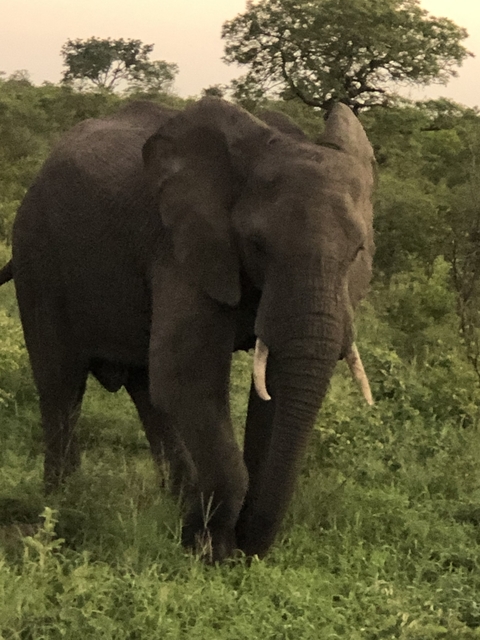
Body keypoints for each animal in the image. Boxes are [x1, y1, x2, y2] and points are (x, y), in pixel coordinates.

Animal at [0, 97, 375, 561]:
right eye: (256, 245)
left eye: (357, 250)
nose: (247, 548)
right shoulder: (180, 250)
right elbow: (189, 380)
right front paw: (210, 550)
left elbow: (264, 393)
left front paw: (215, 539)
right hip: (38, 254)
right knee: (61, 383)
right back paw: (62, 506)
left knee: (147, 390)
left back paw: (174, 499)